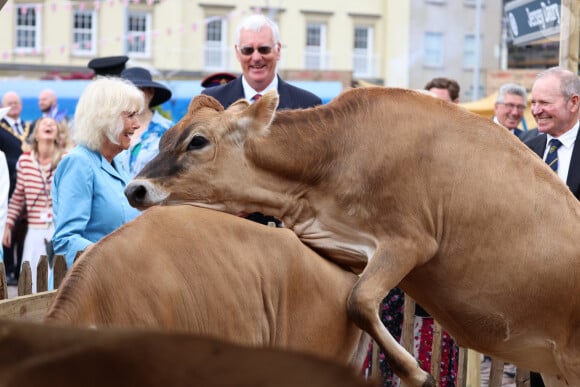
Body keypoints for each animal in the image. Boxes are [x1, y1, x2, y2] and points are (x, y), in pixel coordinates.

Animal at [124, 88, 580, 387]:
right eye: (163, 138)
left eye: (198, 141)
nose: (134, 189)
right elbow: (354, 300)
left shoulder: (409, 241)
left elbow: (359, 301)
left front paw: (417, 371)